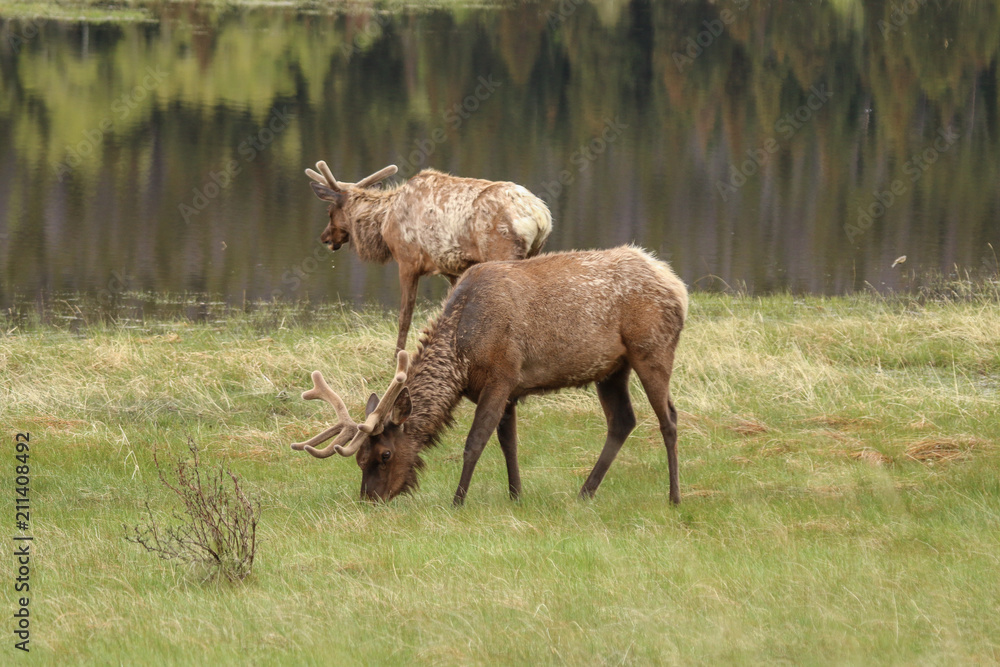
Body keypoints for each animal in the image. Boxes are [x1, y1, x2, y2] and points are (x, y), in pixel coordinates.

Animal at [289, 245, 688, 506]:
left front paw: (457, 500)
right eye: (359, 458)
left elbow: (475, 442)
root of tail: (678, 286)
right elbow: (508, 442)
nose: (370, 499)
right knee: (622, 420)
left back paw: (674, 497)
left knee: (668, 418)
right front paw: (516, 495)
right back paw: (585, 492)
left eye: (385, 454)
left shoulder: (501, 374)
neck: (461, 360)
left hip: (652, 349)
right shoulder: (508, 386)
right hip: (611, 368)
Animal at [304, 160, 552, 351]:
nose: (325, 238)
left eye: (330, 212)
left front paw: (397, 357)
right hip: (534, 252)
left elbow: (405, 315)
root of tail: (540, 216)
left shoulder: (407, 260)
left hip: (502, 252)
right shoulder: (451, 267)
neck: (384, 221)